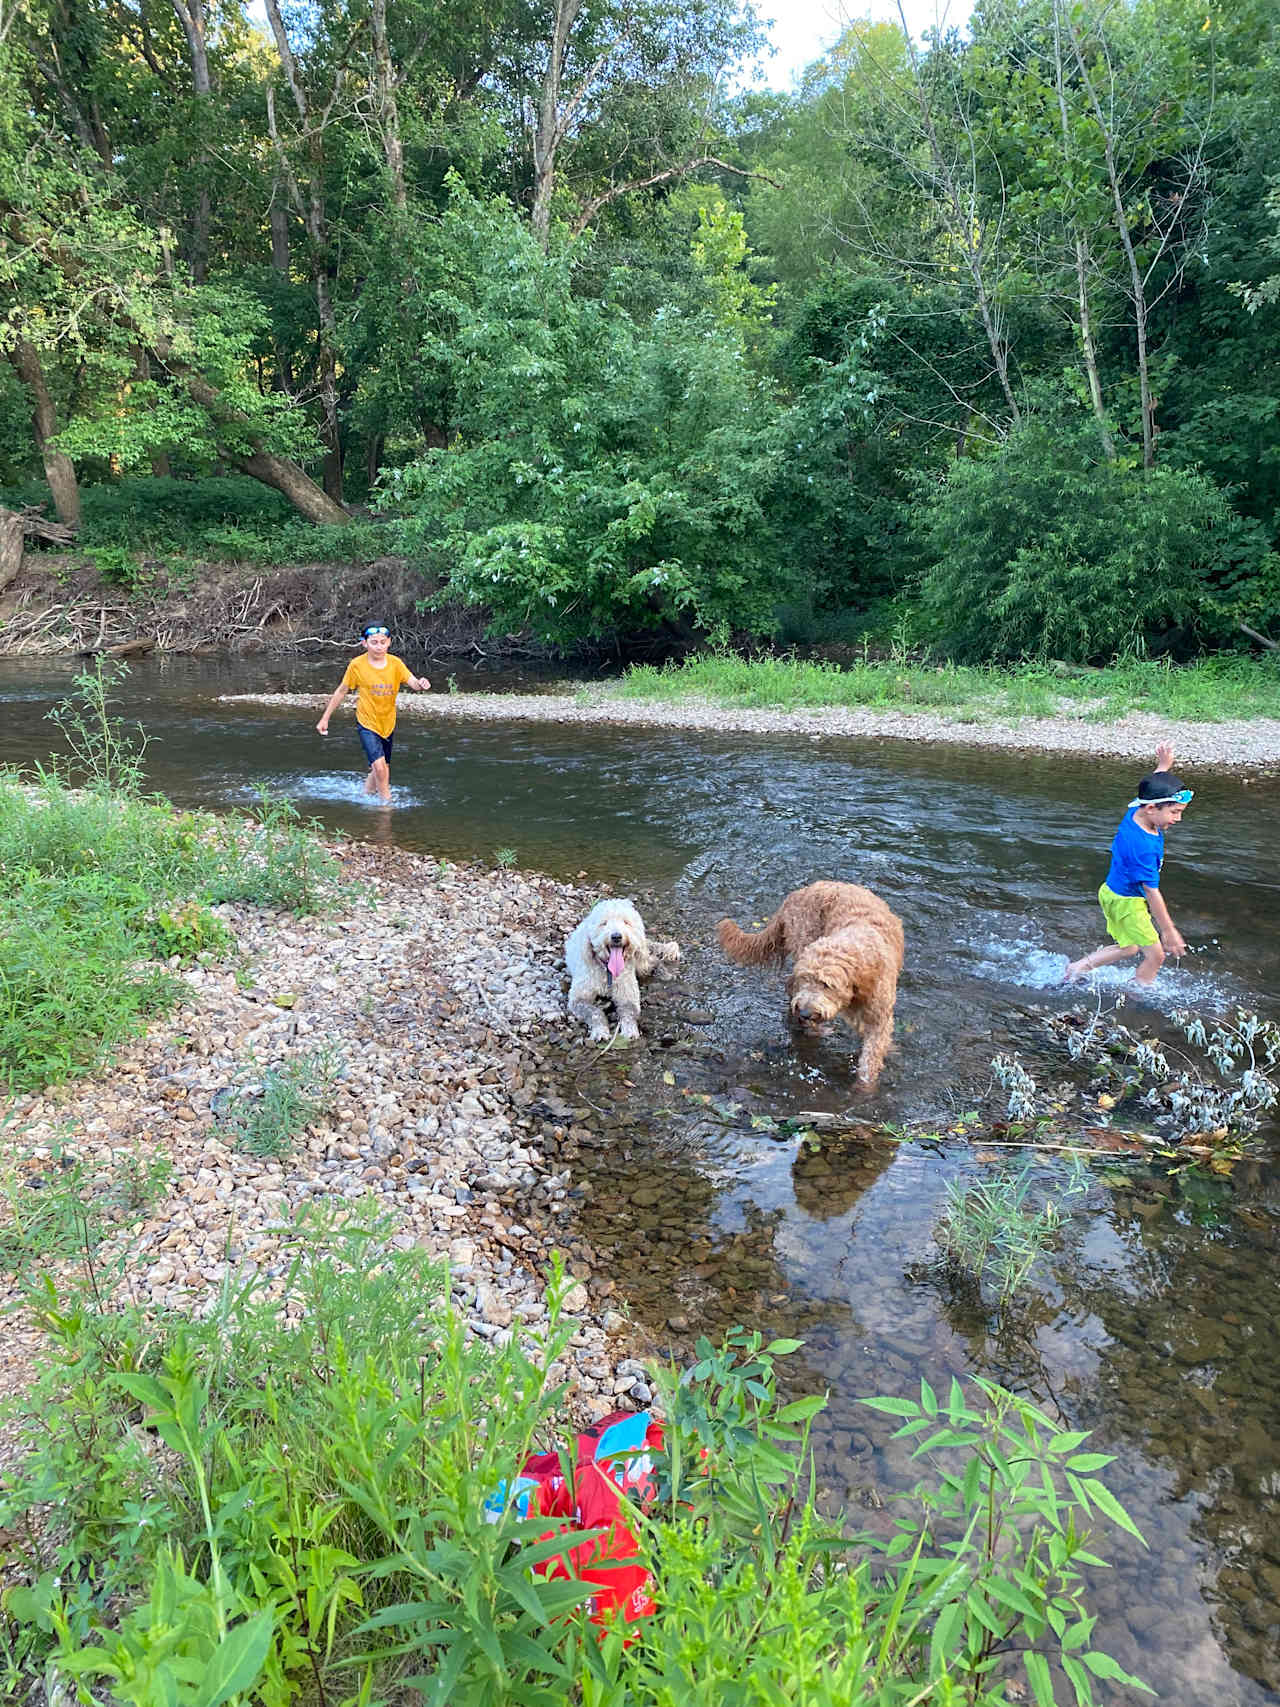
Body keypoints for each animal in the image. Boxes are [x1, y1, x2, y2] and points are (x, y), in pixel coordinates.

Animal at [559, 894, 682, 1037]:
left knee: (653, 961)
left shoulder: (627, 994)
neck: (608, 971)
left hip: (640, 960)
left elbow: (629, 1011)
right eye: (604, 923)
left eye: (626, 922)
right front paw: (600, 1030)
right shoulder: (579, 998)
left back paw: (663, 972)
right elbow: (594, 1012)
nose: (616, 936)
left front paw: (629, 1030)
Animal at [716, 880, 907, 1078]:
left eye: (826, 984)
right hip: (802, 940)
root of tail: (796, 894)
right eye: (805, 979)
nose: (805, 1012)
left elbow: (870, 1059)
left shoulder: (879, 1019)